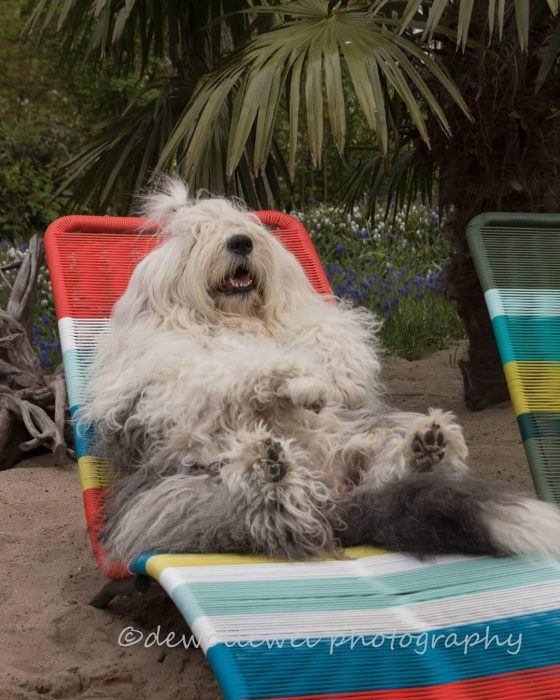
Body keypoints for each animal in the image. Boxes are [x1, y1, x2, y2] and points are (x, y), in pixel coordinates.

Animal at [81, 179, 560, 564]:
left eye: (249, 228)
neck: (236, 319)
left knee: (387, 466)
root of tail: (334, 496)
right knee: (276, 516)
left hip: (367, 432)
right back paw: (271, 472)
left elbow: (330, 341)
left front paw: (327, 378)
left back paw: (426, 447)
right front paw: (294, 380)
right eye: (198, 236)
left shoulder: (312, 324)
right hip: (181, 490)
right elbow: (230, 370)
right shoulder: (168, 377)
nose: (240, 242)